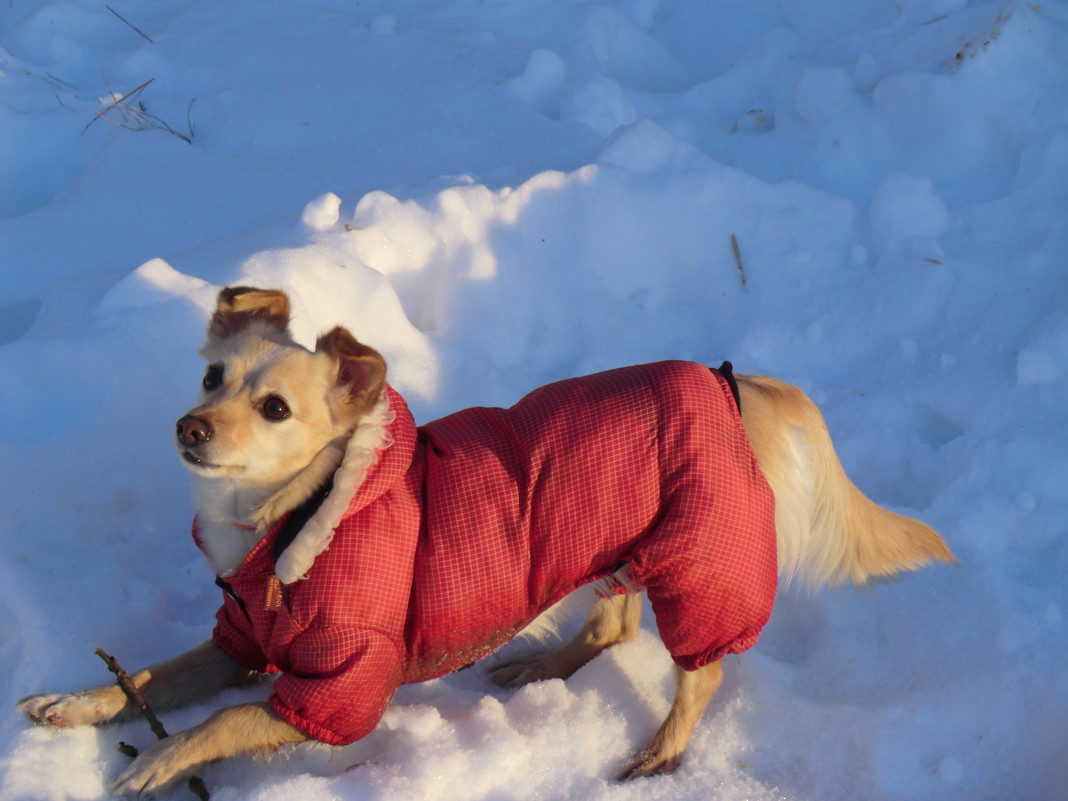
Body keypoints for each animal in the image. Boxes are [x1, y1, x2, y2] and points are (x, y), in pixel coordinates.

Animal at [18, 288, 952, 798]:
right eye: (211, 375)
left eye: (275, 408)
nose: (190, 424)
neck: (289, 519)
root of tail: (729, 381)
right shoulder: (237, 642)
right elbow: (150, 674)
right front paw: (75, 703)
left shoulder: (339, 690)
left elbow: (223, 719)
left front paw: (157, 756)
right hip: (616, 550)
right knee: (612, 625)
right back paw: (539, 668)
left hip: (701, 565)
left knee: (702, 671)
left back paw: (660, 751)